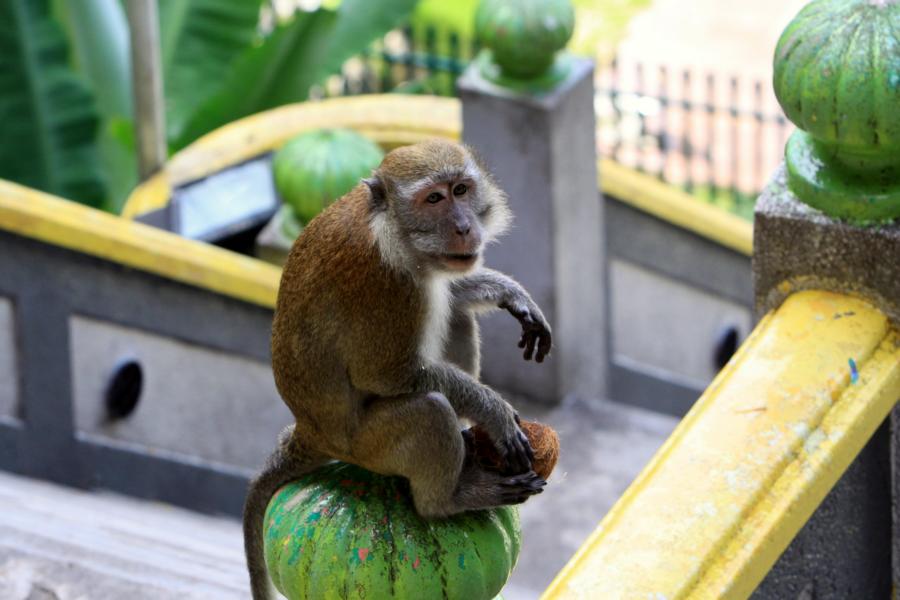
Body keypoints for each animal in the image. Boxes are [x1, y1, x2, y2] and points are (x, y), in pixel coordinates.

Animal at [248, 139, 556, 596]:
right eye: (434, 199)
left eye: (461, 190)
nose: (464, 226)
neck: (388, 226)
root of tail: (309, 431)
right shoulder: (390, 289)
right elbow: (384, 375)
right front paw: (495, 412)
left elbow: (449, 290)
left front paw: (509, 291)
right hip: (369, 448)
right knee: (429, 409)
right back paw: (446, 500)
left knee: (456, 316)